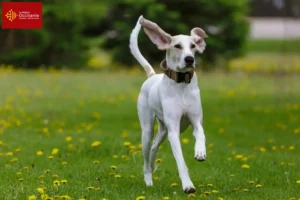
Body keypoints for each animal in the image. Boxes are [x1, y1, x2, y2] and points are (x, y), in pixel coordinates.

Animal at [129, 15, 209, 194]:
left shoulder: (195, 121)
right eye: (177, 46)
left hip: (163, 130)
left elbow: (201, 133)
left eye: (193, 46)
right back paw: (148, 180)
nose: (189, 59)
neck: (182, 85)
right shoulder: (173, 131)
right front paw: (188, 185)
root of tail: (152, 75)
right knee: (146, 155)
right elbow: (181, 162)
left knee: (154, 147)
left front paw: (200, 152)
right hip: (148, 130)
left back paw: (153, 166)